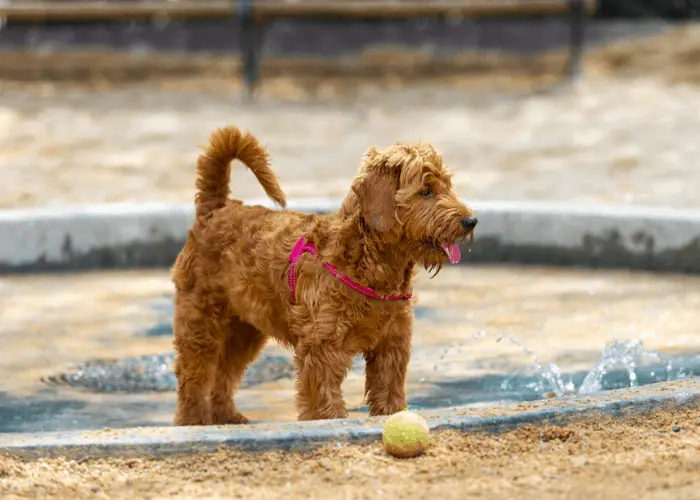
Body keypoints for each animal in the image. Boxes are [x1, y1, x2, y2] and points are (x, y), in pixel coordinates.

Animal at [172, 126, 478, 426]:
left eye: (447, 185)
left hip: (243, 330)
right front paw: (330, 420)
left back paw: (226, 417)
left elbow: (388, 389)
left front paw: (393, 413)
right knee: (194, 377)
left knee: (224, 373)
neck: (371, 265)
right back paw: (193, 421)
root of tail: (214, 210)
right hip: (200, 322)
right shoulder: (322, 344)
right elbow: (323, 394)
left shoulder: (392, 343)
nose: (471, 221)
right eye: (425, 191)